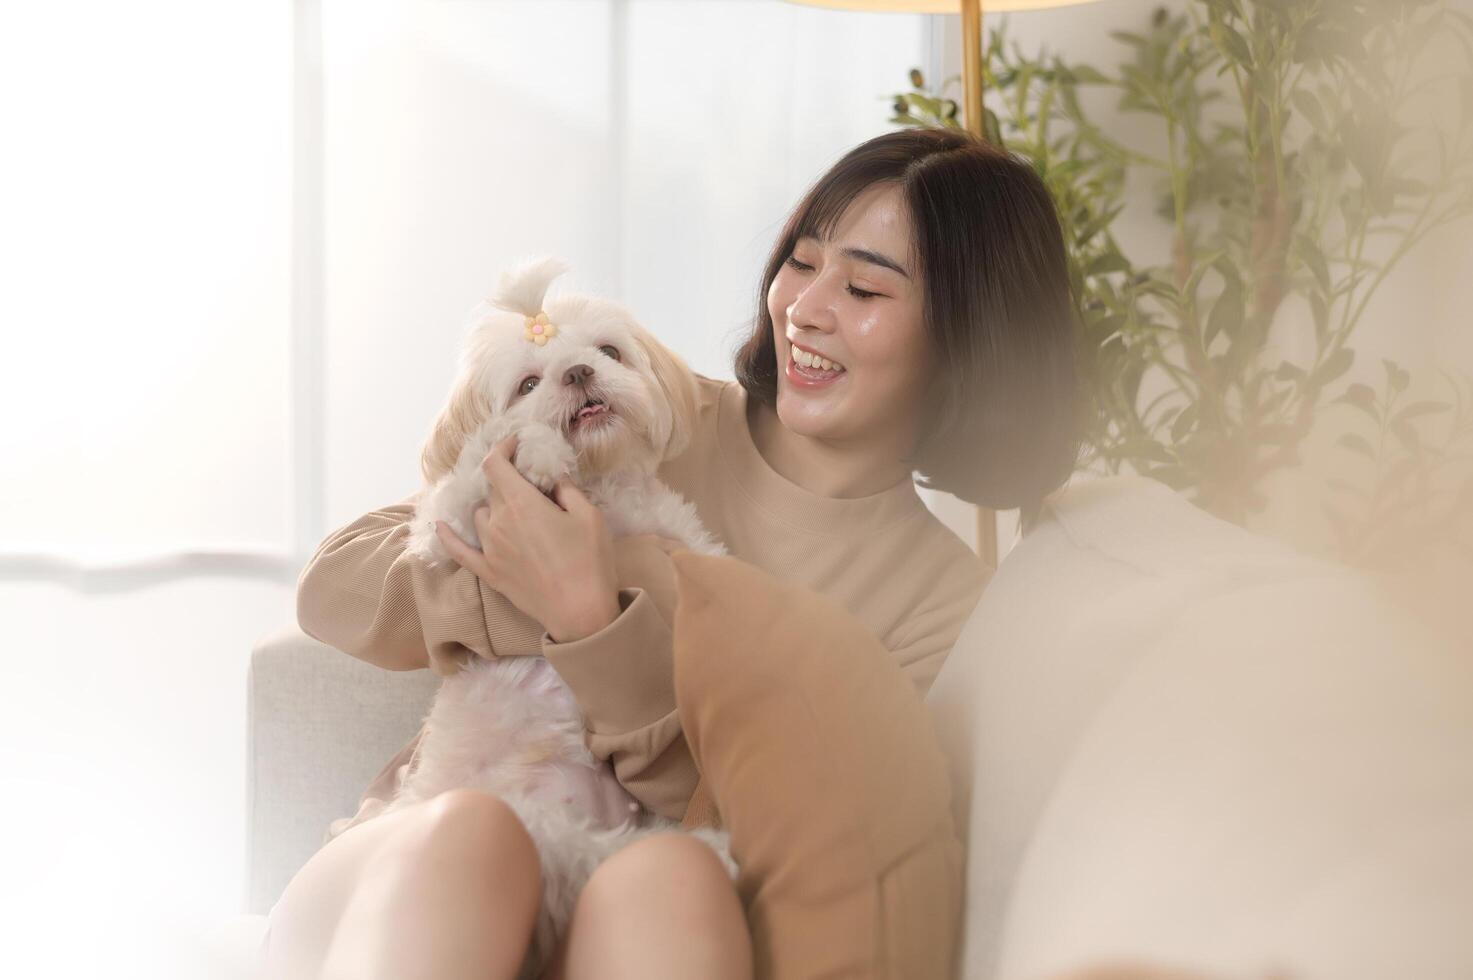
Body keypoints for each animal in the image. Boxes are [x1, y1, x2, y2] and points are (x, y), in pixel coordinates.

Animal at [394, 256, 733, 972]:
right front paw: (535, 452)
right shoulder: (444, 532)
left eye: (609, 352)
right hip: (540, 830)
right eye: (528, 384)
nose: (578, 373)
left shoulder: (675, 531)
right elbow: (471, 471)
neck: (596, 490)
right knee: (592, 856)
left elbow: (708, 566)